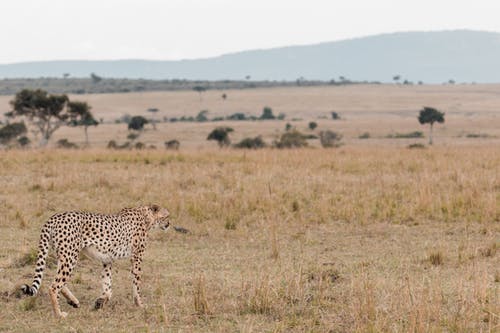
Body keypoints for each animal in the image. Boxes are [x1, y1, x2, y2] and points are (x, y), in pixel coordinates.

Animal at [20, 204, 170, 318]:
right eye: (166, 216)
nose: (169, 224)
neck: (146, 216)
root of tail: (54, 217)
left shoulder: (107, 260)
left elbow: (107, 286)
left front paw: (100, 302)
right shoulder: (137, 257)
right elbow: (136, 284)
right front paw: (140, 304)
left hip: (64, 255)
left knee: (58, 282)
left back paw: (73, 301)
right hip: (70, 257)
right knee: (54, 286)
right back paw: (59, 314)